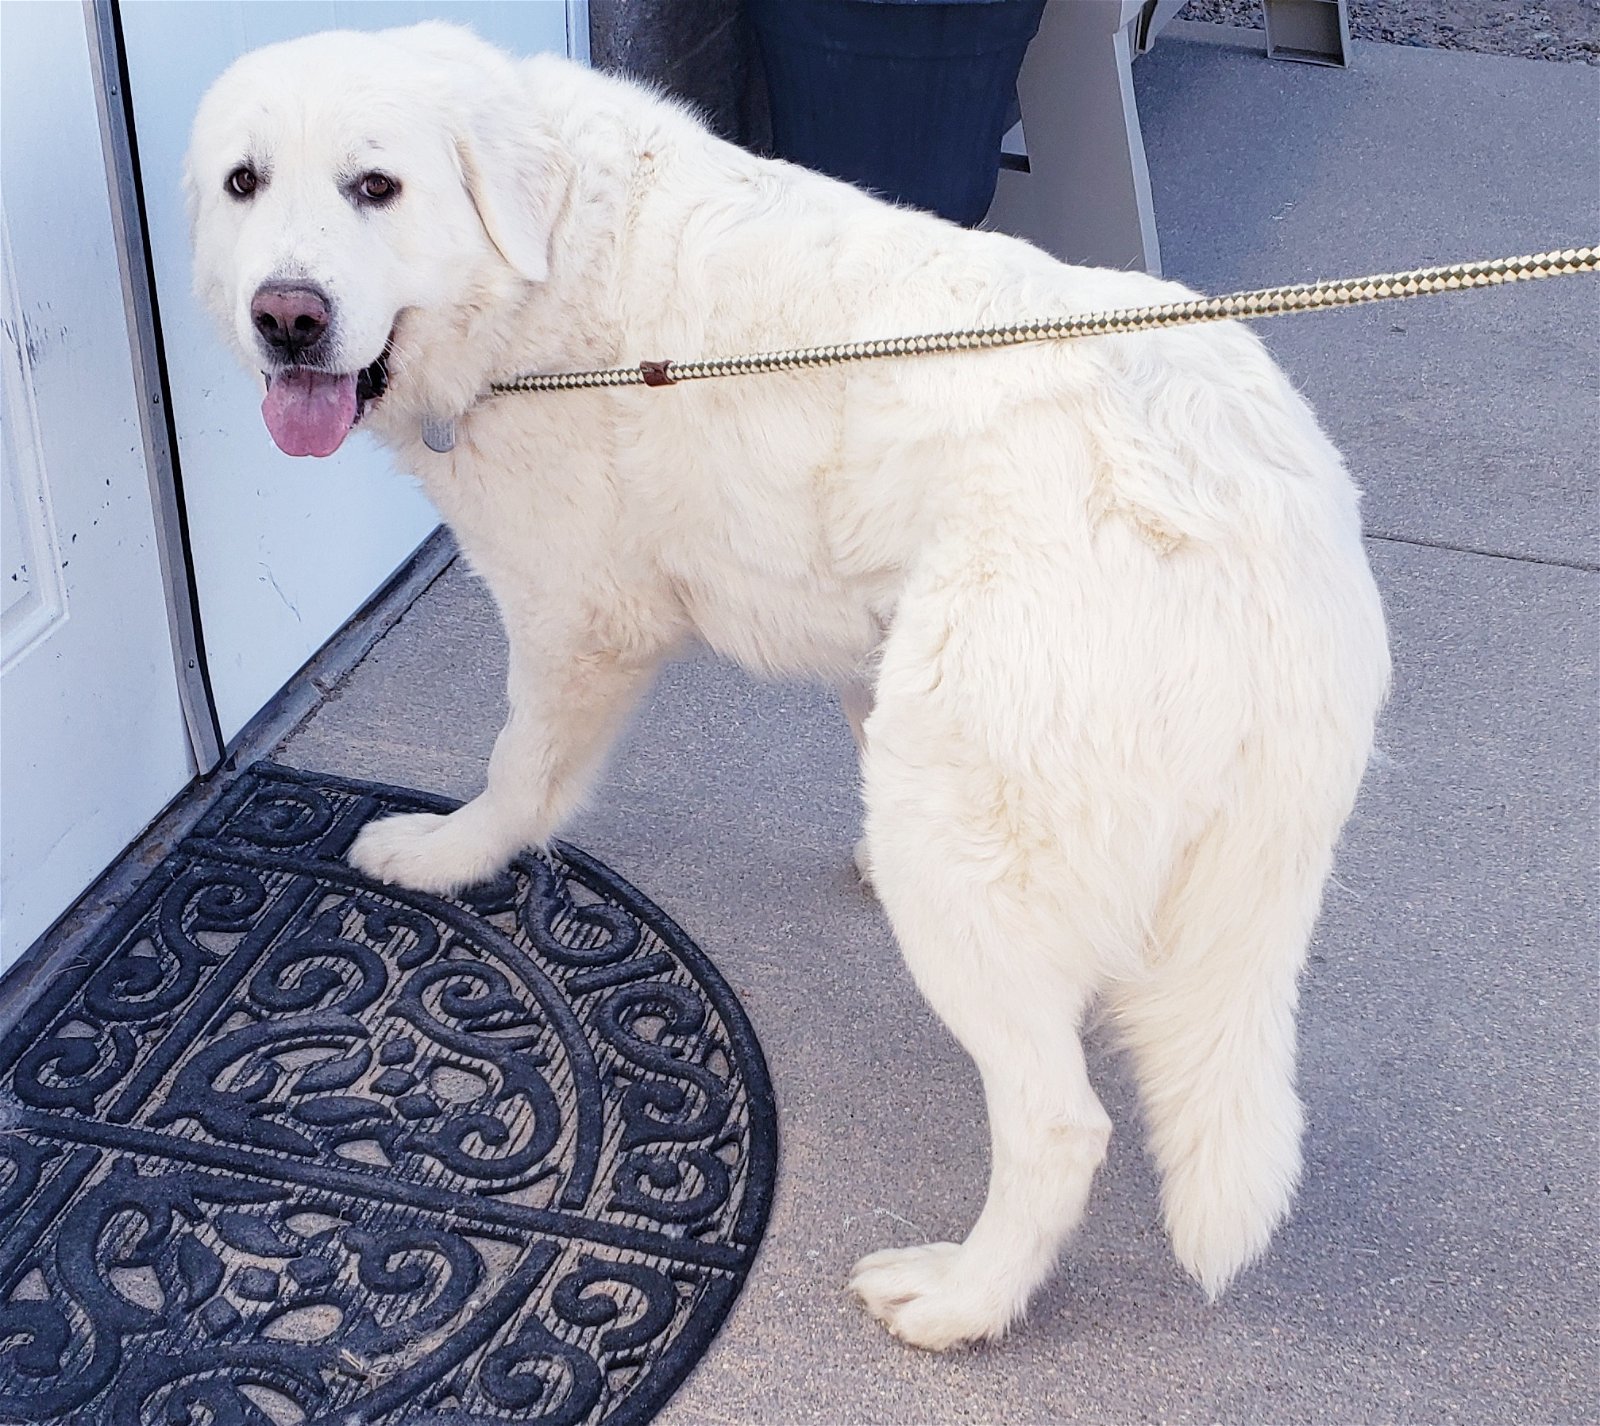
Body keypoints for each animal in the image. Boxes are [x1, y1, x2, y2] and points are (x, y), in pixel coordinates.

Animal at [190, 27, 1388, 1357]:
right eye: (243, 183)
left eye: (376, 187)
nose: (286, 317)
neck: (544, 259)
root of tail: (1265, 505)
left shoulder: (574, 616)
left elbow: (518, 774)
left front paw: (448, 854)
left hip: (957, 845)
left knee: (1059, 1127)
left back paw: (964, 1299)